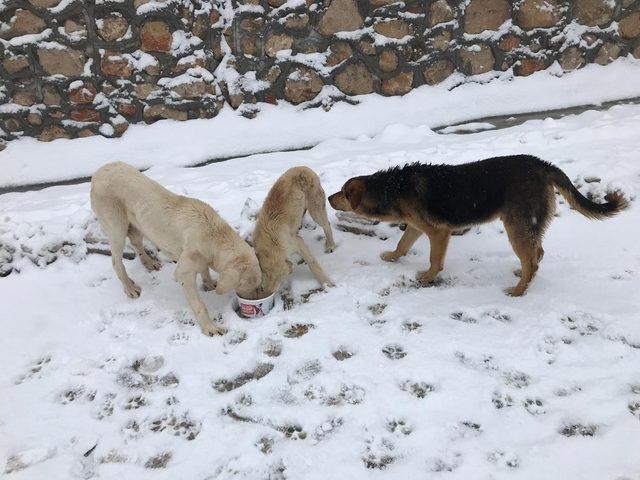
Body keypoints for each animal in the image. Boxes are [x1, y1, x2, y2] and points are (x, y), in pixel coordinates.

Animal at [89, 163, 260, 336]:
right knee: (116, 261)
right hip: (116, 227)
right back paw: (129, 287)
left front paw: (210, 283)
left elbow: (204, 269)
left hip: (138, 223)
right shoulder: (184, 271)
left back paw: (149, 263)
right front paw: (210, 328)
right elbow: (199, 304)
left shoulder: (200, 255)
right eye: (248, 285)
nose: (254, 303)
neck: (214, 234)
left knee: (136, 243)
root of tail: (99, 172)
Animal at [252, 168, 338, 296]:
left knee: (326, 224)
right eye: (262, 288)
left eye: (273, 290)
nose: (264, 297)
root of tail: (304, 168)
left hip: (316, 210)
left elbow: (313, 263)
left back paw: (330, 245)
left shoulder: (297, 243)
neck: (271, 245)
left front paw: (326, 283)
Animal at [328, 155, 628, 296]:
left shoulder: (438, 232)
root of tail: (543, 165)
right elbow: (402, 245)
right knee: (537, 254)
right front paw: (391, 257)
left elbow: (434, 260)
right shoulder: (415, 226)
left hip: (516, 226)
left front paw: (427, 277)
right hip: (526, 225)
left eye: (342, 192)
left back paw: (518, 291)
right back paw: (522, 275)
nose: (329, 198)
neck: (392, 188)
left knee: (533, 259)